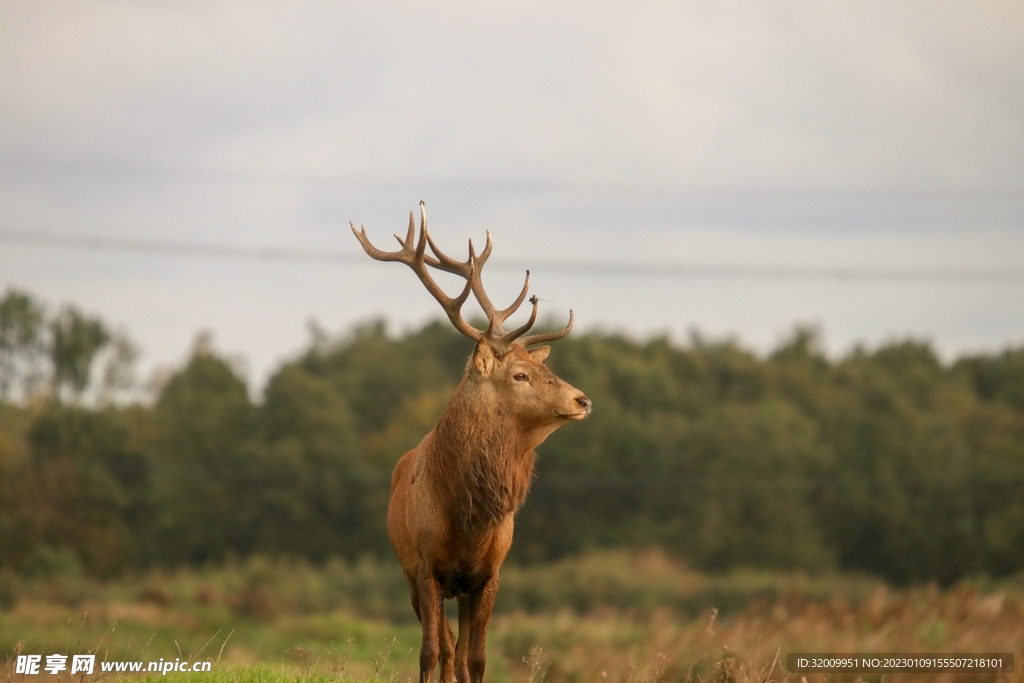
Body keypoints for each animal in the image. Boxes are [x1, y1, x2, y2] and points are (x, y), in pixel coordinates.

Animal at [351, 202, 592, 683]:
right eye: (520, 375)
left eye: (539, 368)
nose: (583, 400)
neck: (468, 519)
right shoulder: (427, 567)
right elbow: (429, 653)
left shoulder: (488, 573)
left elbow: (477, 658)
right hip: (411, 573)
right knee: (444, 647)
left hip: (460, 590)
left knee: (459, 652)